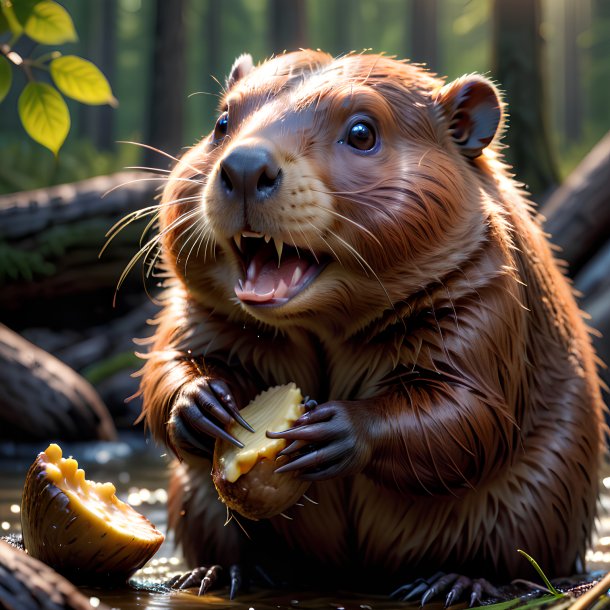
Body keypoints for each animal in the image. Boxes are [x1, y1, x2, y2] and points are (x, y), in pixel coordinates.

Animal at [137, 50, 604, 600]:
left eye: (362, 132)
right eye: (222, 123)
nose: (246, 167)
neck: (321, 326)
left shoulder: (488, 299)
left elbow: (470, 408)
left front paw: (332, 429)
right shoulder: (197, 307)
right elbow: (169, 358)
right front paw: (201, 403)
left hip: (536, 506)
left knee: (509, 558)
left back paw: (450, 582)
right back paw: (224, 572)